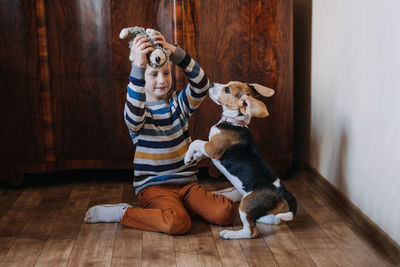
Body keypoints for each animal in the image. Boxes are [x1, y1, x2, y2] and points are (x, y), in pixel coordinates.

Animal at [184, 82, 296, 241]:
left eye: (227, 90)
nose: (211, 84)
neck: (234, 122)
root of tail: (281, 190)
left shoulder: (213, 148)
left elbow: (197, 142)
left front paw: (187, 156)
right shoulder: (209, 147)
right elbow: (199, 149)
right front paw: (194, 158)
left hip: (245, 204)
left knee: (251, 231)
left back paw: (230, 234)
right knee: (273, 219)